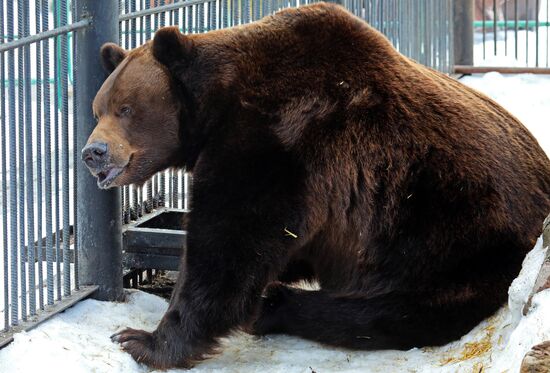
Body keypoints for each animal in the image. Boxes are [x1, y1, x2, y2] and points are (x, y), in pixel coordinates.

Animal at [82, 2, 550, 370]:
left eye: (126, 108)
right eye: (97, 108)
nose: (93, 152)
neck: (216, 104)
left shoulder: (278, 140)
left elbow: (228, 248)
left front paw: (142, 340)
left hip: (445, 229)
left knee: (396, 308)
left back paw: (276, 306)